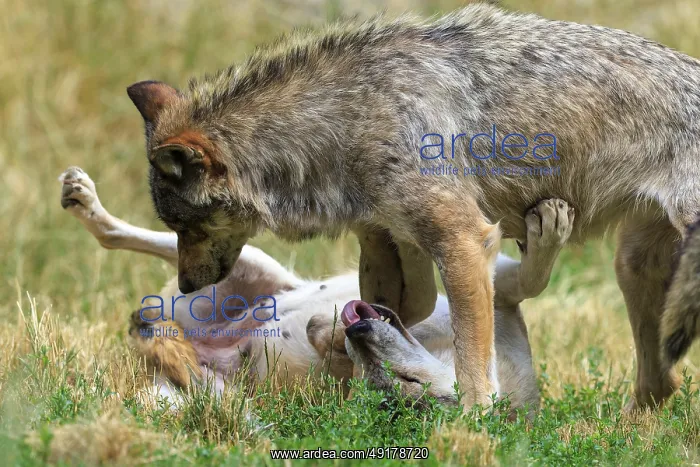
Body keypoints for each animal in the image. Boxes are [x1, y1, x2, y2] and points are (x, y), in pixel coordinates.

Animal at [60, 166, 575, 413]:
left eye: (399, 385)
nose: (361, 331)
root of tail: (204, 345)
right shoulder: (498, 286)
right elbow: (532, 279)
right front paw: (549, 227)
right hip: (246, 260)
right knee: (117, 235)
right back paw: (84, 200)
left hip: (216, 378)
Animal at [124, 3, 700, 409]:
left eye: (186, 226)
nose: (185, 287)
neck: (347, 121)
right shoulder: (395, 248)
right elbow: (388, 313)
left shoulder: (464, 242)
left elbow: (471, 368)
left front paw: (473, 426)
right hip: (634, 272)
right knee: (659, 385)